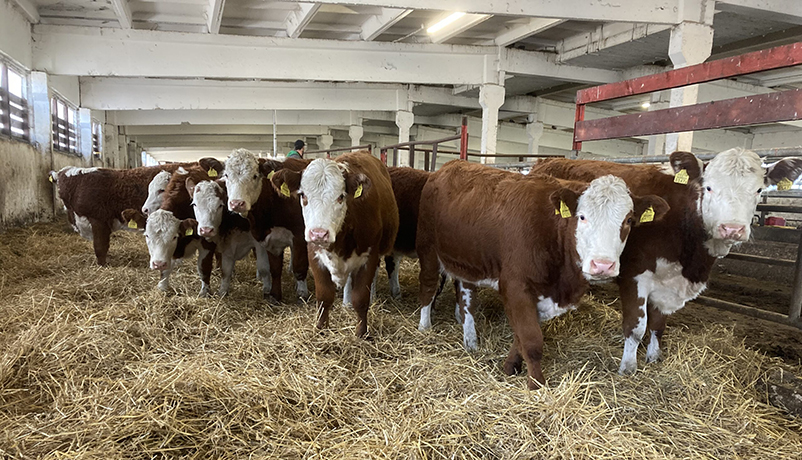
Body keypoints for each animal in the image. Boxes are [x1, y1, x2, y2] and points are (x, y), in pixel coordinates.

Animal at [222, 149, 311, 301]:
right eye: (226, 175)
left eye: (255, 176)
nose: (236, 203)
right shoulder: (268, 238)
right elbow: (274, 269)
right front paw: (275, 296)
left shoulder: (300, 236)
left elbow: (300, 267)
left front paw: (302, 295)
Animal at [270, 151, 399, 337]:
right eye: (303, 195)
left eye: (341, 197)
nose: (319, 233)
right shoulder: (315, 255)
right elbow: (324, 296)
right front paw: (321, 329)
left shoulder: (369, 256)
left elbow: (361, 298)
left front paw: (361, 333)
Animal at [416, 161, 669, 388]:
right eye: (582, 216)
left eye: (628, 220)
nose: (602, 265)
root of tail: (448, 166)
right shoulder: (516, 286)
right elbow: (531, 340)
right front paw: (536, 385)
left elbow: (520, 335)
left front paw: (510, 366)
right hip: (428, 249)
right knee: (428, 287)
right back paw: (424, 327)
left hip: (467, 262)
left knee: (467, 298)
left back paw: (470, 339)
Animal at [529, 148, 802, 375]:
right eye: (709, 188)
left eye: (758, 190)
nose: (732, 228)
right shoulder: (635, 276)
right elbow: (637, 327)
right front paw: (628, 367)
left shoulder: (667, 285)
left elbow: (658, 325)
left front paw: (654, 357)